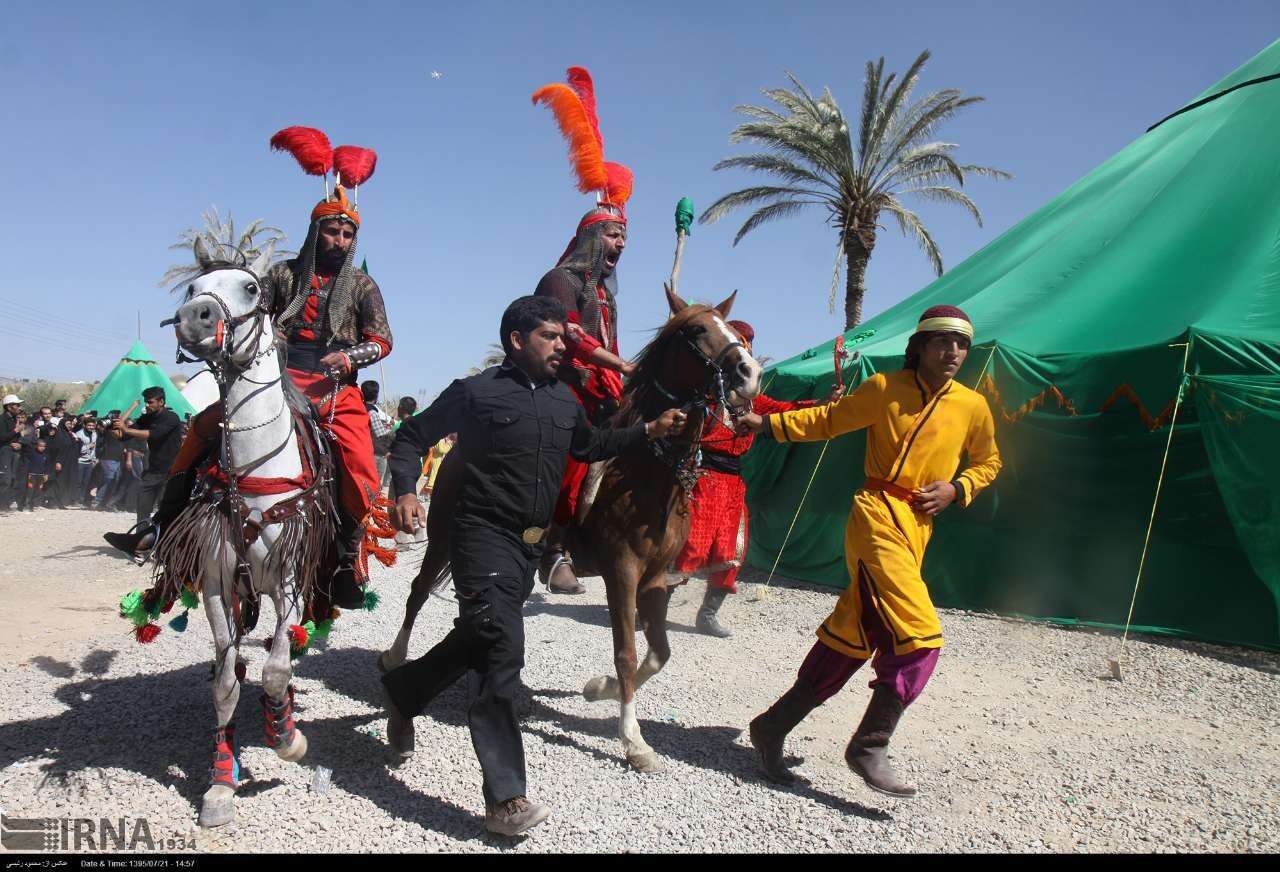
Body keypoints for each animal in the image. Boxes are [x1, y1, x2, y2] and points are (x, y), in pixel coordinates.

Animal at [162, 242, 337, 824]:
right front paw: (221, 782)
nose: (196, 319)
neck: (254, 473)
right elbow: (224, 683)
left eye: (251, 287)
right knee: (236, 664)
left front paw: (287, 737)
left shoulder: (288, 578)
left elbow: (277, 668)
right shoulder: (218, 584)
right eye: (192, 289)